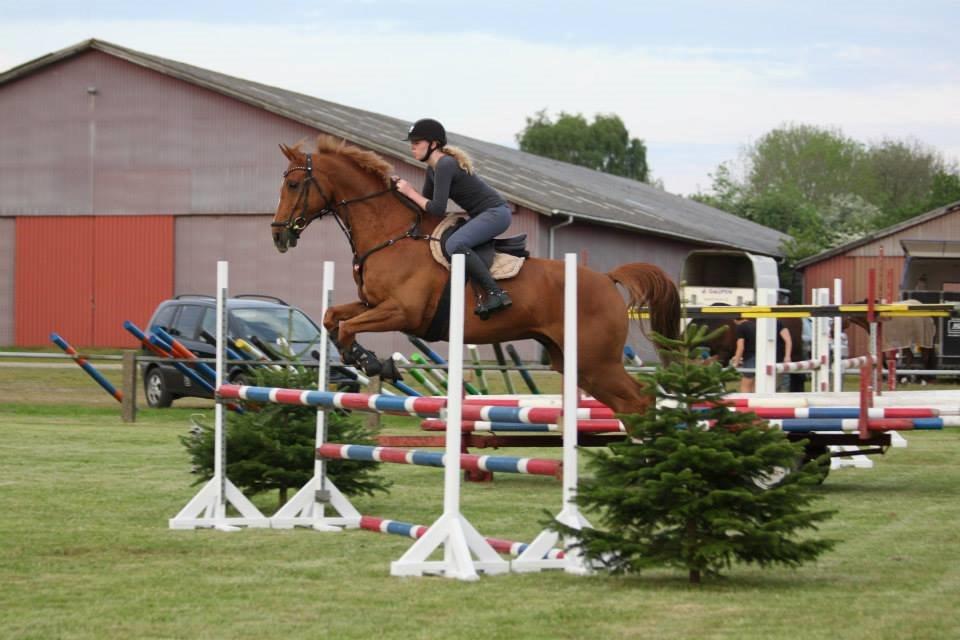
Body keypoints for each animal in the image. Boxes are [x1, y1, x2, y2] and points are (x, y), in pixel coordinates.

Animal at [270, 137, 684, 412]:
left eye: (293, 184)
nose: (277, 235)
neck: (392, 234)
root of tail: (608, 278)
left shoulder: (402, 312)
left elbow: (348, 327)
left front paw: (374, 363)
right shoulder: (373, 304)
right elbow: (333, 318)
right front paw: (369, 360)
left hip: (596, 359)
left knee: (639, 399)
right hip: (574, 361)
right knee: (631, 402)